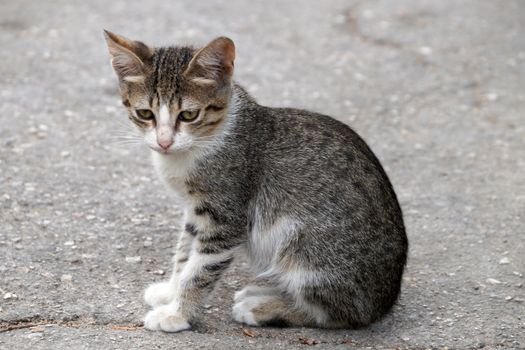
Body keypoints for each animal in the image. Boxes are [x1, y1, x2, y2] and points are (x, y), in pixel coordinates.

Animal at [101, 29, 406, 330]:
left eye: (188, 115)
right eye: (145, 113)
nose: (164, 142)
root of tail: (384, 301)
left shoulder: (225, 216)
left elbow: (200, 270)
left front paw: (177, 314)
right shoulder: (195, 210)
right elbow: (185, 253)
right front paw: (170, 291)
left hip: (308, 252)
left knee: (340, 314)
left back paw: (263, 307)